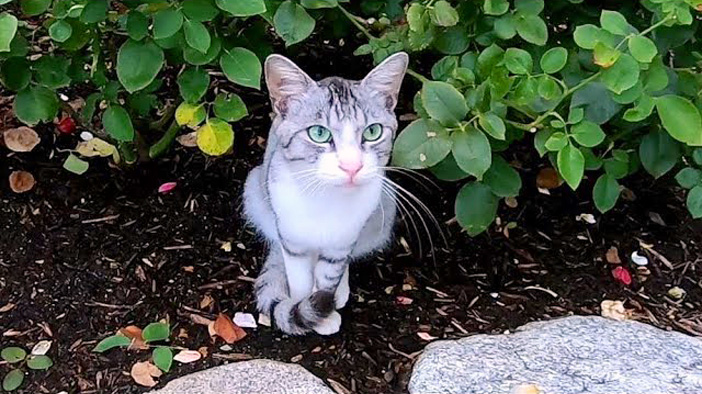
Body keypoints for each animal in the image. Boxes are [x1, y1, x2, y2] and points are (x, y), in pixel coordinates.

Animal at [242, 51, 410, 336]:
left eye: (373, 131)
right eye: (319, 133)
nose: (352, 166)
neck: (326, 199)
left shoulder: (343, 240)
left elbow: (329, 274)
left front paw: (327, 301)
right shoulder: (291, 238)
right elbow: (300, 279)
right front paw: (309, 312)